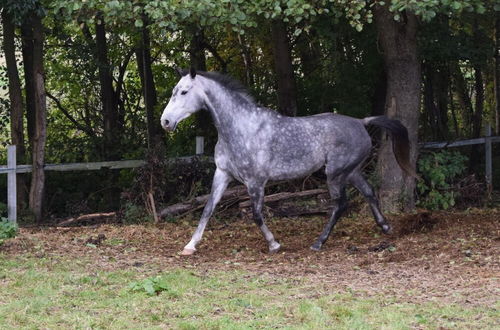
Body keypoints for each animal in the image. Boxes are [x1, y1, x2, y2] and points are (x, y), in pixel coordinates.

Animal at [161, 68, 414, 256]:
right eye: (175, 91)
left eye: (184, 92)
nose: (165, 122)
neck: (240, 127)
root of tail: (361, 122)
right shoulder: (222, 174)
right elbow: (208, 209)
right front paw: (190, 246)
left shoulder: (255, 182)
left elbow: (256, 214)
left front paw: (274, 244)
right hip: (351, 172)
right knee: (369, 192)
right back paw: (385, 226)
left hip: (335, 174)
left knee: (340, 204)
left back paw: (318, 243)